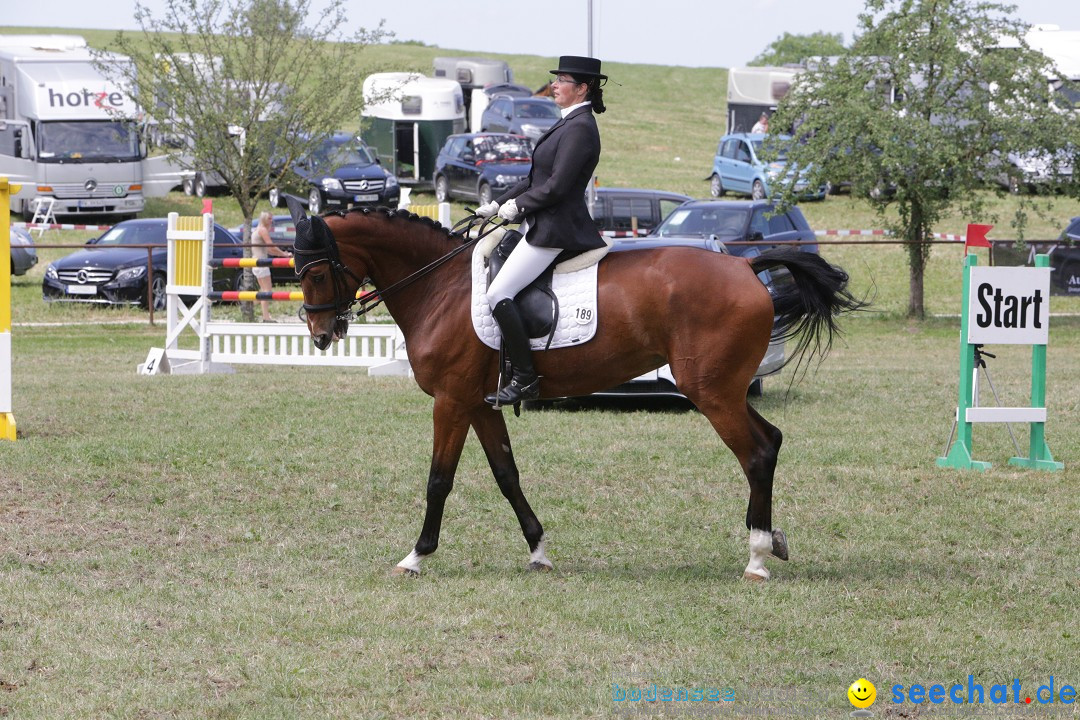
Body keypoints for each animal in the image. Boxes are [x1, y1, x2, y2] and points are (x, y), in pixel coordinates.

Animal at [287, 199, 859, 582]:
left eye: (314, 272)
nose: (320, 335)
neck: (439, 286)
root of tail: (744, 264)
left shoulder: (450, 401)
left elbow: (438, 480)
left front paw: (417, 555)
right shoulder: (479, 403)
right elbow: (506, 474)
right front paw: (538, 550)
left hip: (712, 393)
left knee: (757, 452)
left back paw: (757, 556)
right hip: (726, 389)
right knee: (773, 441)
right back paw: (773, 539)